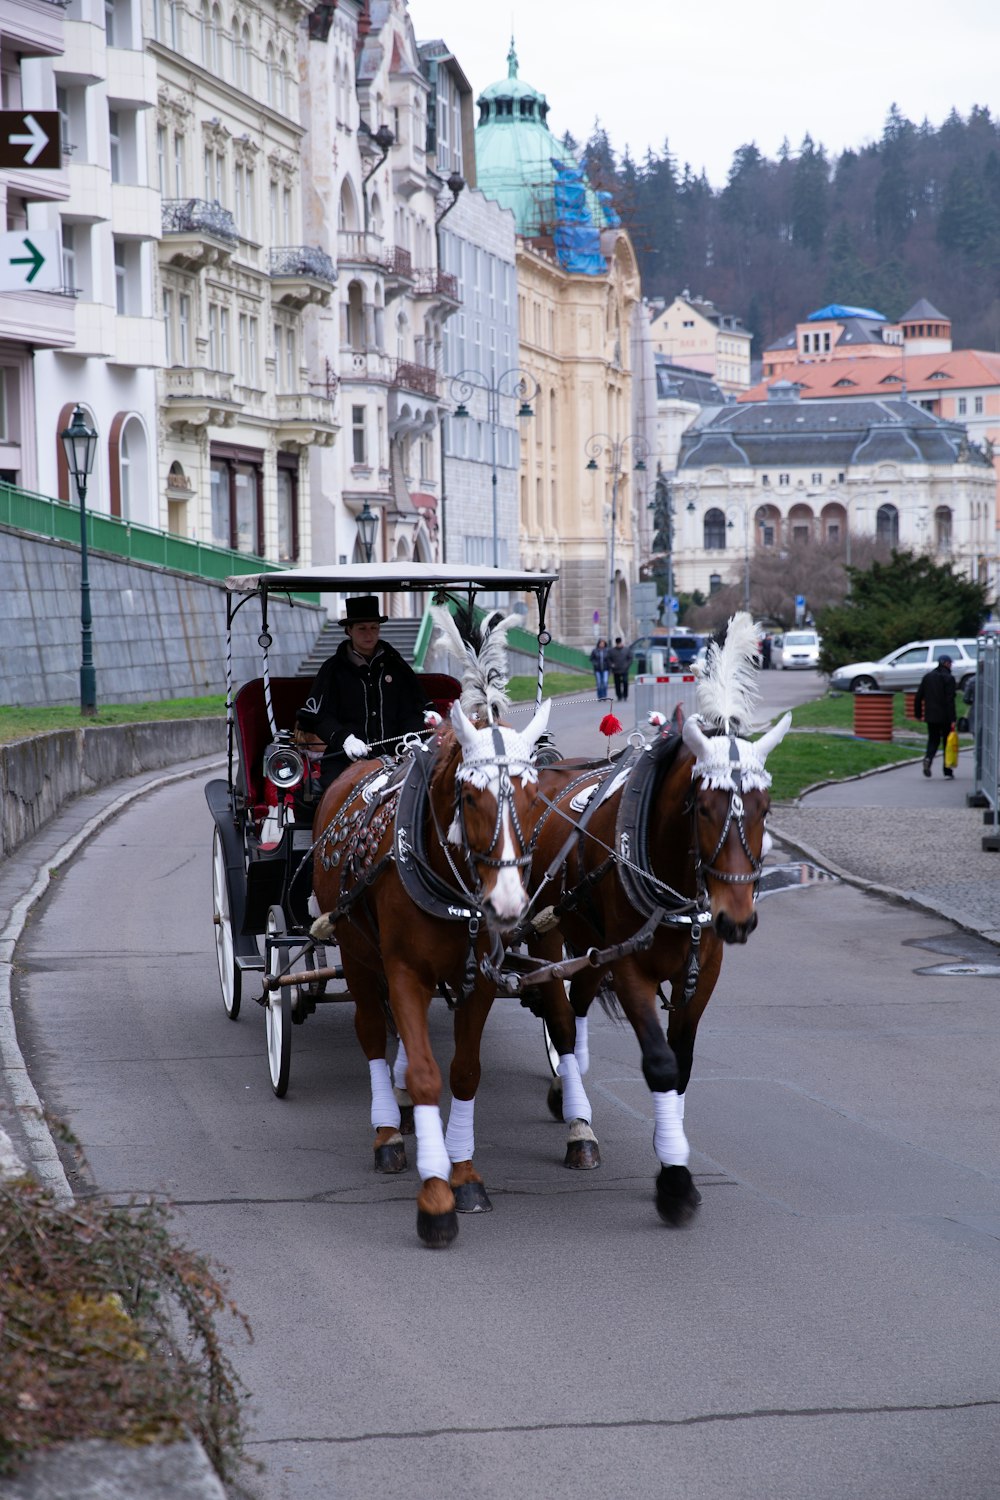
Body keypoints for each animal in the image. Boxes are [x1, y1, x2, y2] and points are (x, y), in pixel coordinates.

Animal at [313, 696, 551, 1248]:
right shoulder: (403, 971)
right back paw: (387, 1131)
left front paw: (463, 1174)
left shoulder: (481, 978)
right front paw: (436, 1197)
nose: (508, 905)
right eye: (470, 796)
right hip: (357, 955)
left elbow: (464, 1072)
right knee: (371, 1032)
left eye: (534, 796)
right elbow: (425, 1075)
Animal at [515, 615, 791, 1224]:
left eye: (765, 808)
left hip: (591, 944)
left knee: (575, 1005)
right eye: (703, 808)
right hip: (551, 936)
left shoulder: (700, 972)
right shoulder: (631, 969)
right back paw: (578, 1124)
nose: (738, 921)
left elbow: (682, 1065)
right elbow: (661, 1065)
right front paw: (675, 1182)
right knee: (561, 1019)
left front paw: (674, 1158)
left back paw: (566, 1092)